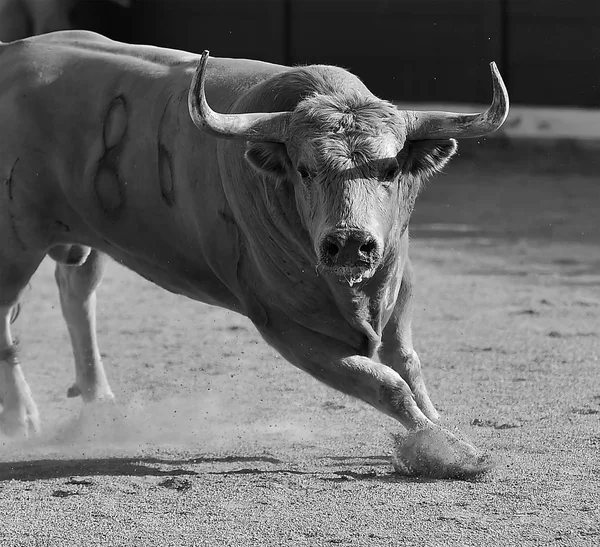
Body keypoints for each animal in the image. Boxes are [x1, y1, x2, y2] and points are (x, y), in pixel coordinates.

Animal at [0, 30, 508, 478]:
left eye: (389, 169)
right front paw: (452, 451)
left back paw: (100, 405)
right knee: (7, 317)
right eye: (304, 169)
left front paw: (439, 425)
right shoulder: (284, 325)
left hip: (86, 238)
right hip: (16, 244)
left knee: (76, 292)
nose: (348, 241)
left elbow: (408, 363)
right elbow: (387, 383)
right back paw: (22, 419)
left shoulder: (398, 289)